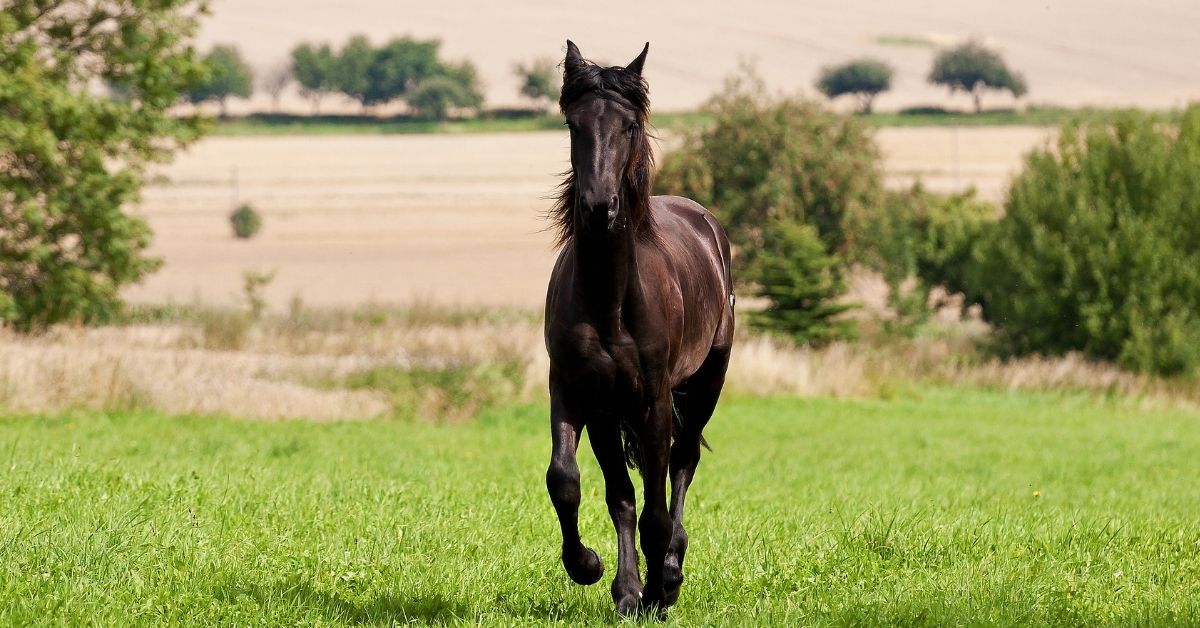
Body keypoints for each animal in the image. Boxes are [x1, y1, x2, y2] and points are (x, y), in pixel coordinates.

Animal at [542, 41, 729, 614]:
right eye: (573, 124)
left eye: (628, 126)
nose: (599, 207)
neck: (610, 302)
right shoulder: (577, 391)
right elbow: (572, 482)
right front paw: (596, 572)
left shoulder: (653, 402)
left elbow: (655, 506)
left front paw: (659, 591)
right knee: (627, 491)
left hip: (706, 383)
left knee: (682, 464)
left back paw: (669, 571)